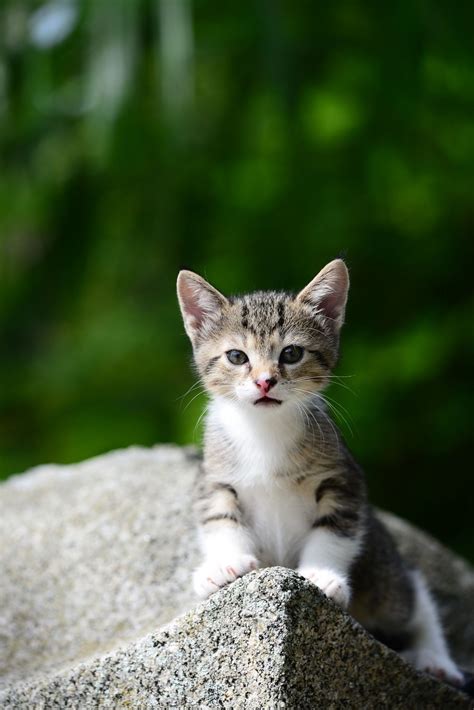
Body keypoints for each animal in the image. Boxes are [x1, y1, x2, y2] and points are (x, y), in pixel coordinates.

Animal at [177, 262, 462, 688]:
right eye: (236, 356)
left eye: (292, 353)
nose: (265, 381)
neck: (265, 434)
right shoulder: (214, 477)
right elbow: (220, 517)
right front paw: (224, 565)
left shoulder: (344, 479)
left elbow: (334, 530)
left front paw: (321, 575)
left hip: (382, 580)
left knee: (412, 594)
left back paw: (435, 656)